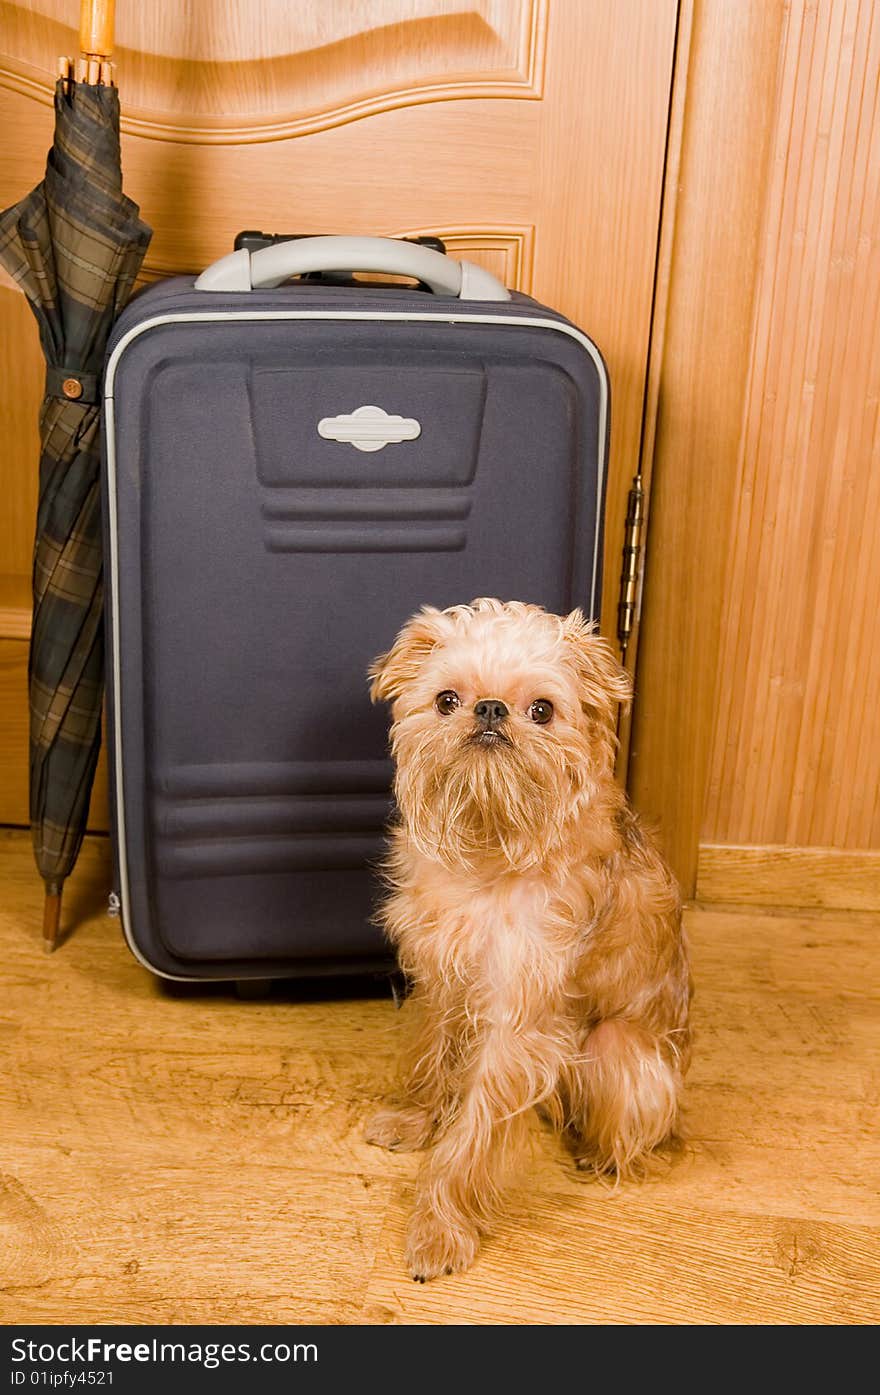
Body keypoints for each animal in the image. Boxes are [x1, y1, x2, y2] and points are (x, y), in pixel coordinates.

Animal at [365, 594, 694, 1277]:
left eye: (542, 710)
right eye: (447, 700)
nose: (491, 709)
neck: (491, 840)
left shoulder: (518, 1023)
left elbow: (473, 1132)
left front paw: (439, 1228)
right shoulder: (448, 978)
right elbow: (434, 1058)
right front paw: (418, 1120)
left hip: (616, 1044)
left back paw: (599, 1154)